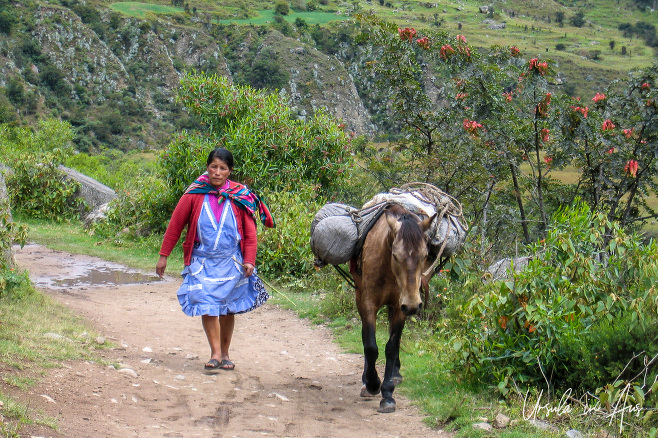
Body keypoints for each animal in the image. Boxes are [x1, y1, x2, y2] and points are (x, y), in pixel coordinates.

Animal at [352, 204, 434, 412]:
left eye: (425, 256)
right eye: (396, 256)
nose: (413, 305)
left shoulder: (399, 307)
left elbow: (392, 347)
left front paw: (388, 393)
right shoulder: (368, 303)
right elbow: (370, 345)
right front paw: (373, 383)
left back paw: (395, 374)